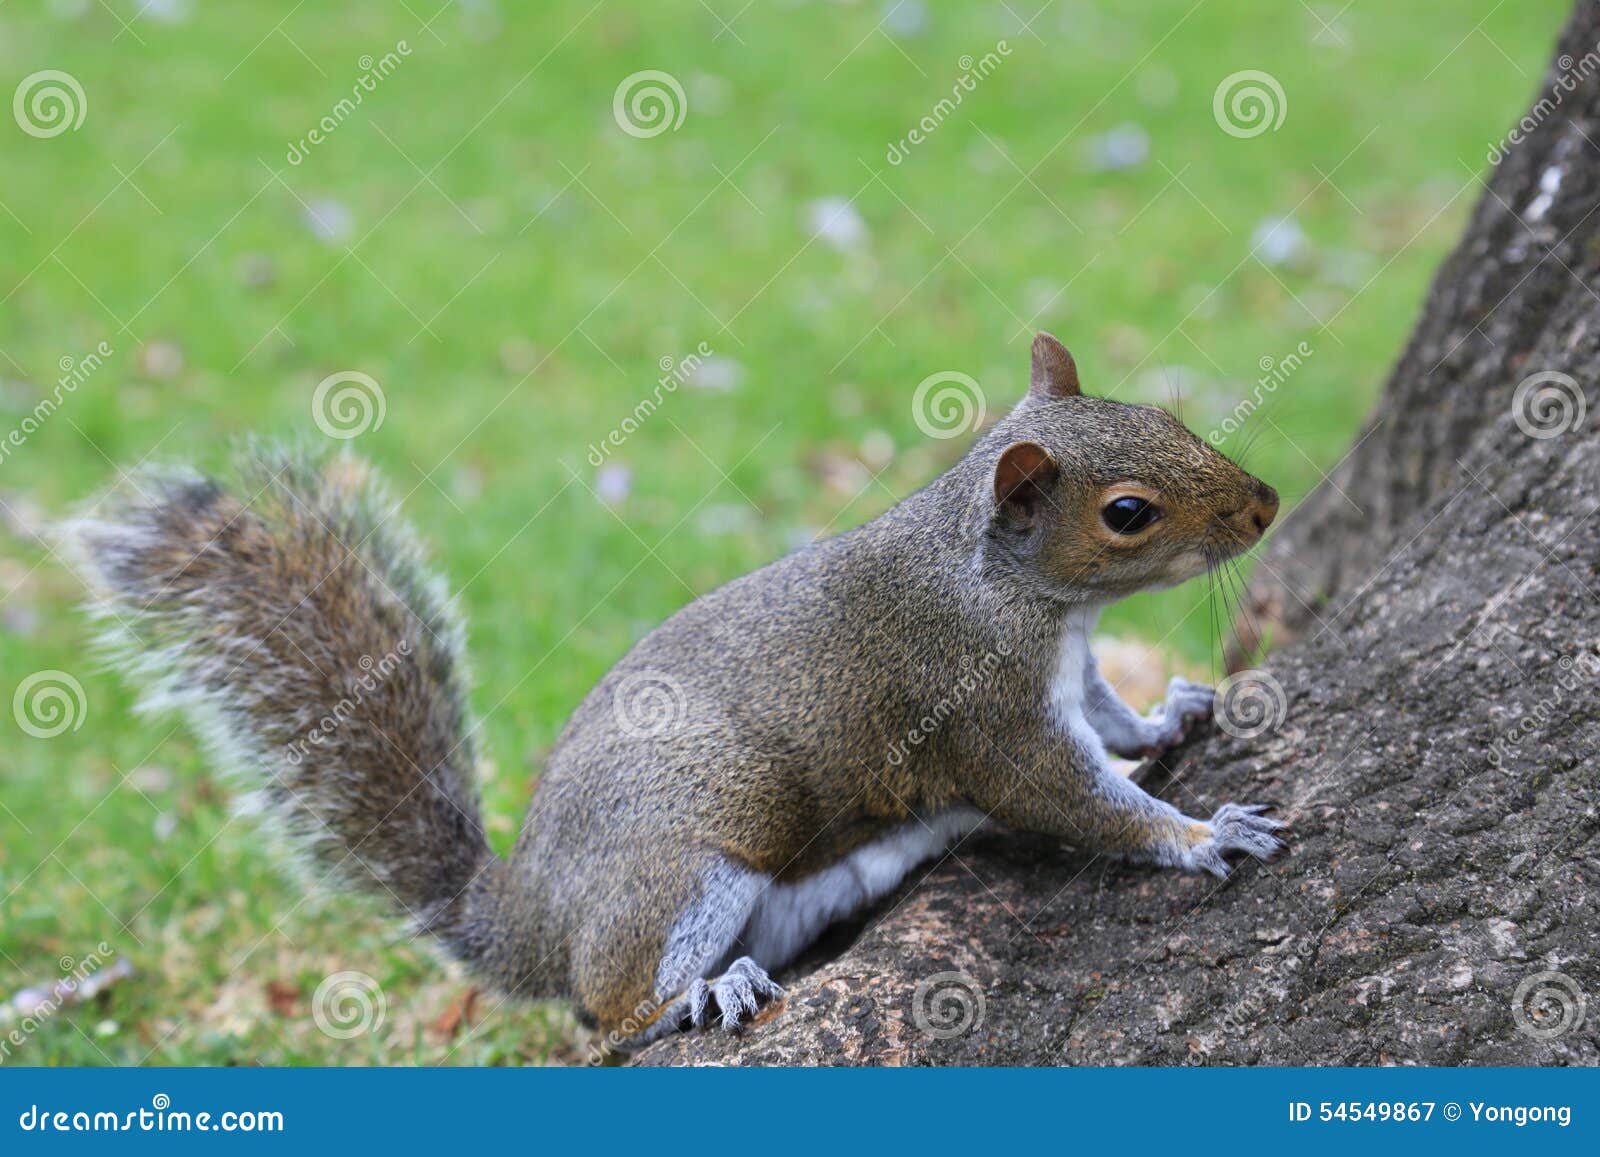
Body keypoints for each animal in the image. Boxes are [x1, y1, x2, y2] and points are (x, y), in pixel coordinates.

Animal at [65, 332, 1286, 1049]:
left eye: (1167, 418)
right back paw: (705, 993)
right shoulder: (979, 705)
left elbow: (1112, 719)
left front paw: (1177, 709)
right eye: (1127, 512)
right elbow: (1074, 798)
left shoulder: (1070, 673)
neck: (1010, 587)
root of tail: (527, 917)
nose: (1267, 505)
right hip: (687, 856)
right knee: (607, 1011)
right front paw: (1199, 833)